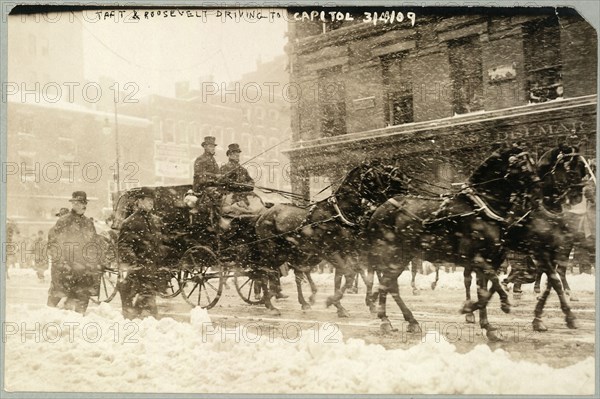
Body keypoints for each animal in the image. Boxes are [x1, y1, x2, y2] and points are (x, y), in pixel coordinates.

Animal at [253, 161, 412, 318]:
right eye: (380, 174)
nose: (406, 186)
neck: (338, 214)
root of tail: (263, 215)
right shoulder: (331, 251)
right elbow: (350, 275)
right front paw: (334, 301)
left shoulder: (347, 251)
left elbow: (345, 277)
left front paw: (341, 306)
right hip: (271, 251)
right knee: (264, 272)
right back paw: (270, 304)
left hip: (287, 253)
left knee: (287, 273)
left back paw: (296, 300)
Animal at [366, 146, 540, 340]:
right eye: (522, 166)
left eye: (533, 164)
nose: (538, 191)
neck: (481, 209)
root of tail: (379, 210)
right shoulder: (476, 258)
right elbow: (493, 283)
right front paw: (499, 305)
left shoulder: (490, 261)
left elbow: (485, 290)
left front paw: (487, 325)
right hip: (393, 254)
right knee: (387, 284)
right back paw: (385, 320)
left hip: (403, 257)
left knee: (390, 284)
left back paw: (407, 320)